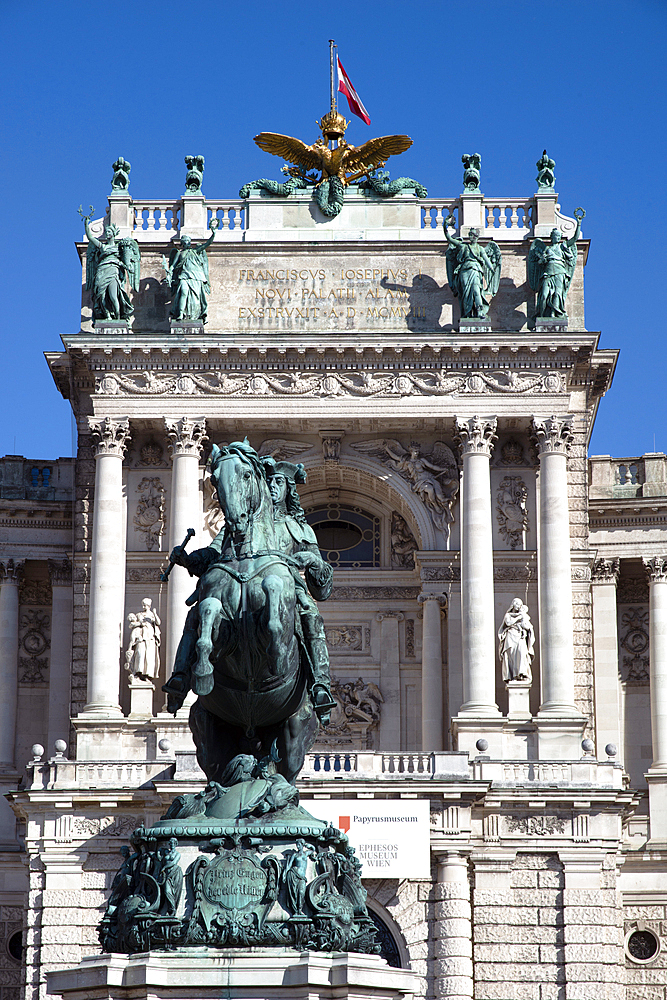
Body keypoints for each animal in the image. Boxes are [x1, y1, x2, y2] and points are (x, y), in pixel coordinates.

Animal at [185, 444, 318, 780]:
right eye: (214, 478)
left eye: (246, 474)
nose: (236, 522)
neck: (247, 557)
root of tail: (251, 732)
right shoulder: (220, 621)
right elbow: (207, 612)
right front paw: (202, 671)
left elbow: (275, 597)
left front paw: (277, 656)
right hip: (210, 734)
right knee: (221, 772)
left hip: (294, 734)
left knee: (285, 772)